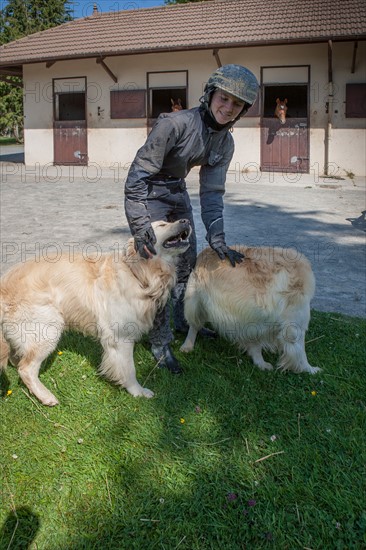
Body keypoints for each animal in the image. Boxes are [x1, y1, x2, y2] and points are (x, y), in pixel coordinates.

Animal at [0, 220, 192, 406]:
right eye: (162, 225)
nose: (185, 220)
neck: (138, 273)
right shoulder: (120, 337)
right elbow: (129, 369)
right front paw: (137, 392)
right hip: (47, 328)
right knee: (25, 368)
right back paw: (46, 396)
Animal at [182, 248, 318, 378]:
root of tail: (203, 253)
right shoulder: (294, 326)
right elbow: (300, 353)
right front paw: (310, 369)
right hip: (196, 302)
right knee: (193, 326)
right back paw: (187, 346)